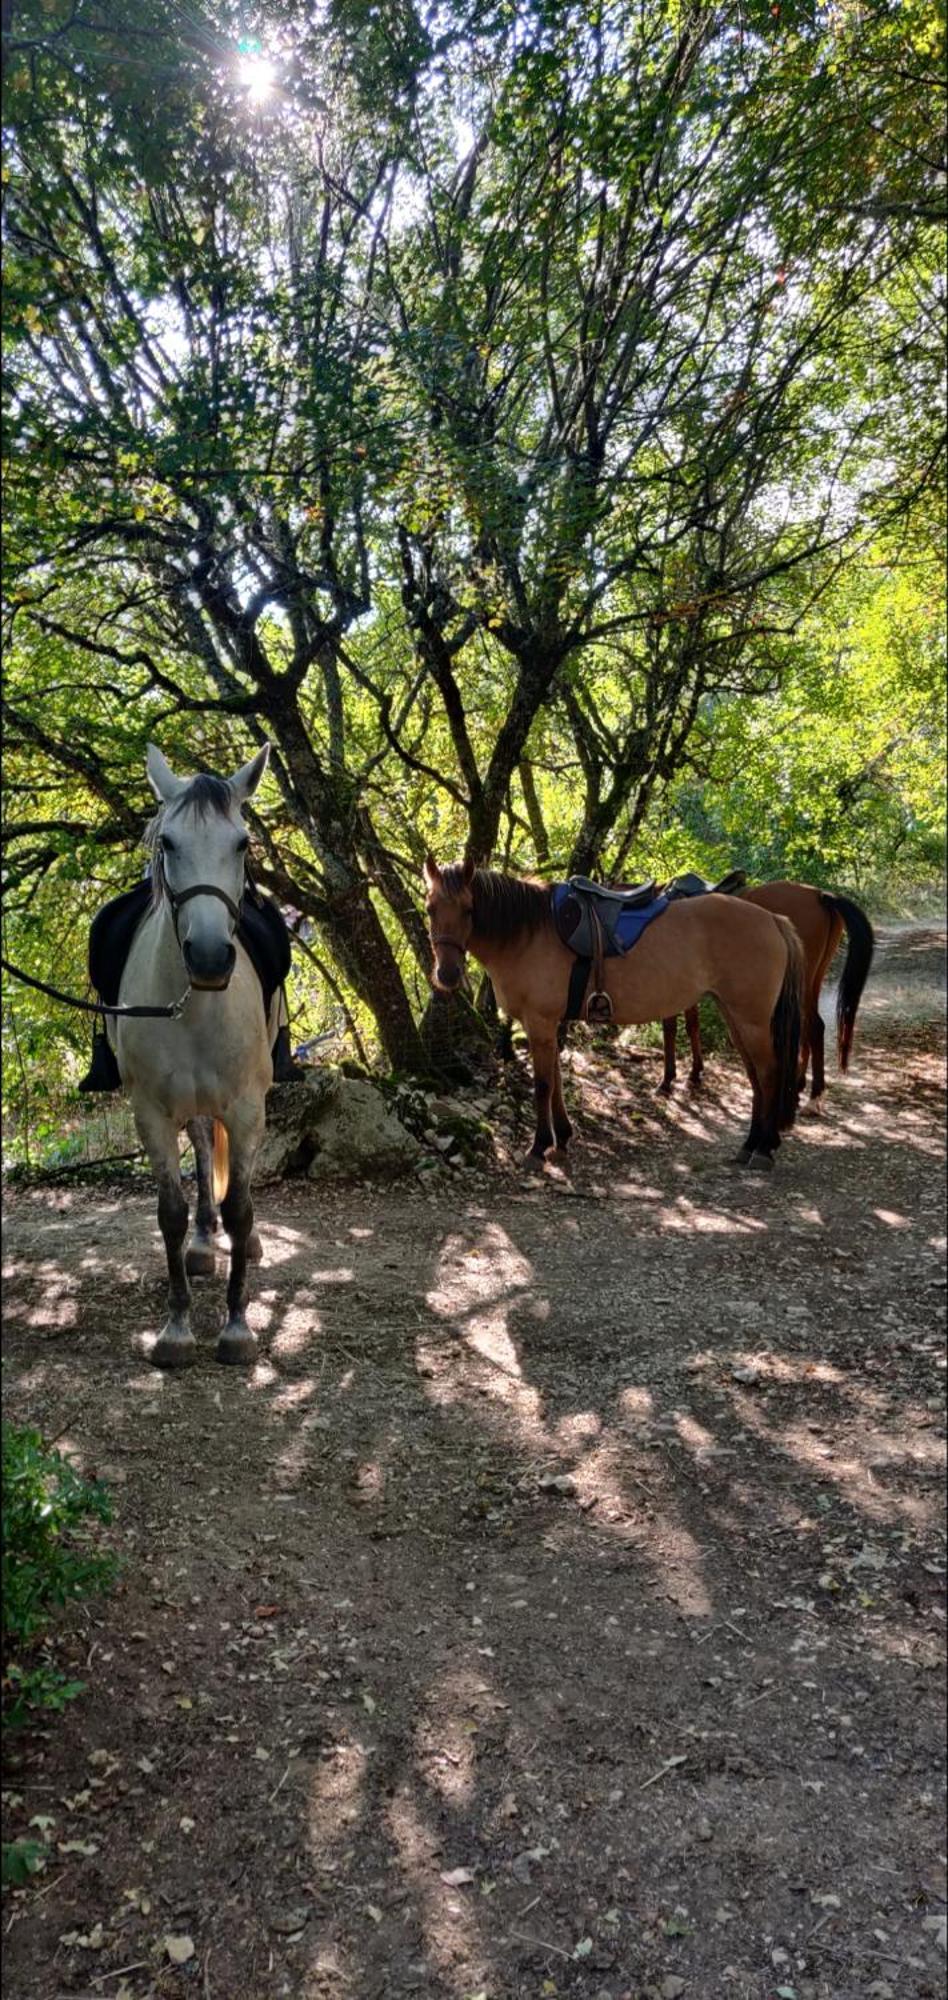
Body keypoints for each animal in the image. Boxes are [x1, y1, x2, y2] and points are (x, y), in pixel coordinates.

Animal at [114, 744, 276, 1368]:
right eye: (168, 843)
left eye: (242, 844)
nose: (208, 956)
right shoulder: (152, 1114)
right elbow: (171, 1213)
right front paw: (178, 1327)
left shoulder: (249, 1108)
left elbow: (242, 1207)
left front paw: (236, 1325)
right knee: (205, 1149)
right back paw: (205, 1244)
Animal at [426, 860, 804, 1168]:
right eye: (430, 909)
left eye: (469, 909)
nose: (447, 975)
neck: (528, 932)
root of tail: (772, 919)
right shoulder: (549, 1024)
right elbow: (557, 1079)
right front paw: (562, 1137)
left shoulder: (540, 1021)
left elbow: (543, 1084)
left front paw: (538, 1147)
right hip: (735, 1017)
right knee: (755, 1076)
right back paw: (751, 1144)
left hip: (751, 1019)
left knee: (769, 1073)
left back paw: (763, 1149)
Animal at [660, 880, 872, 1104]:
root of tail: (819, 895)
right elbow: (692, 1025)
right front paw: (695, 1073)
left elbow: (671, 1029)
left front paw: (668, 1080)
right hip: (813, 979)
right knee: (809, 1027)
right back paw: (800, 1084)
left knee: (813, 1027)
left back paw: (814, 1093)